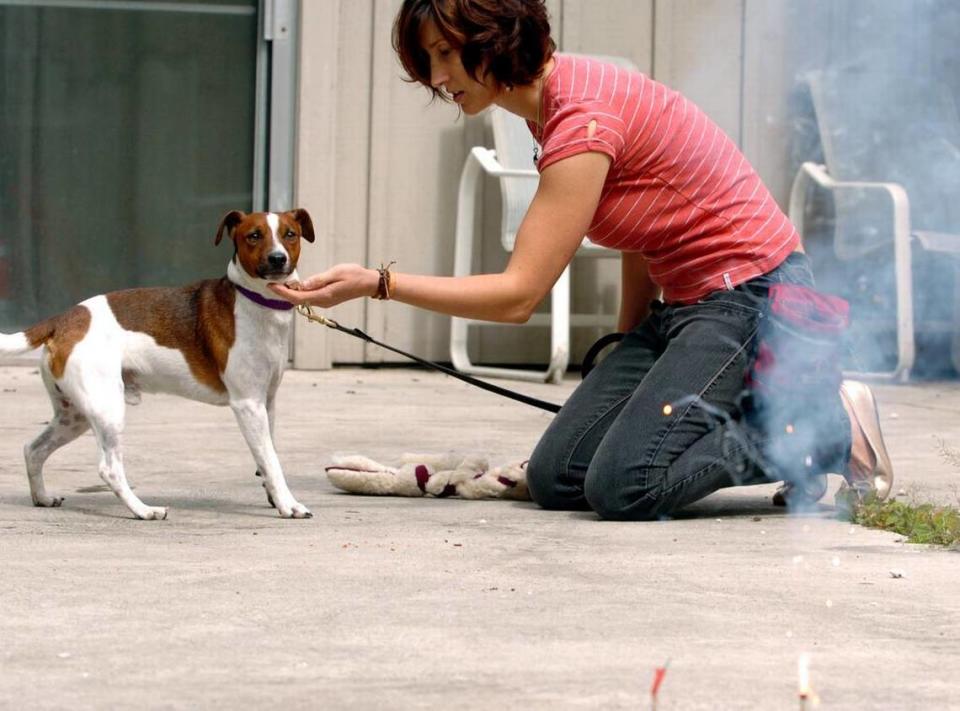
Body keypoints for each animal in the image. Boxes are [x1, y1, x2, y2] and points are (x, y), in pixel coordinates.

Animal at [0, 209, 312, 520]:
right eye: (254, 236)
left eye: (290, 234)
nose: (277, 258)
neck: (256, 300)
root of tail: (62, 319)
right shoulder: (248, 404)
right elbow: (271, 461)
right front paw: (288, 504)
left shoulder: (266, 402)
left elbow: (267, 455)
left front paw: (274, 497)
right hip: (108, 409)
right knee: (109, 469)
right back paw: (143, 510)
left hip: (74, 416)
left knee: (33, 449)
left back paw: (42, 497)